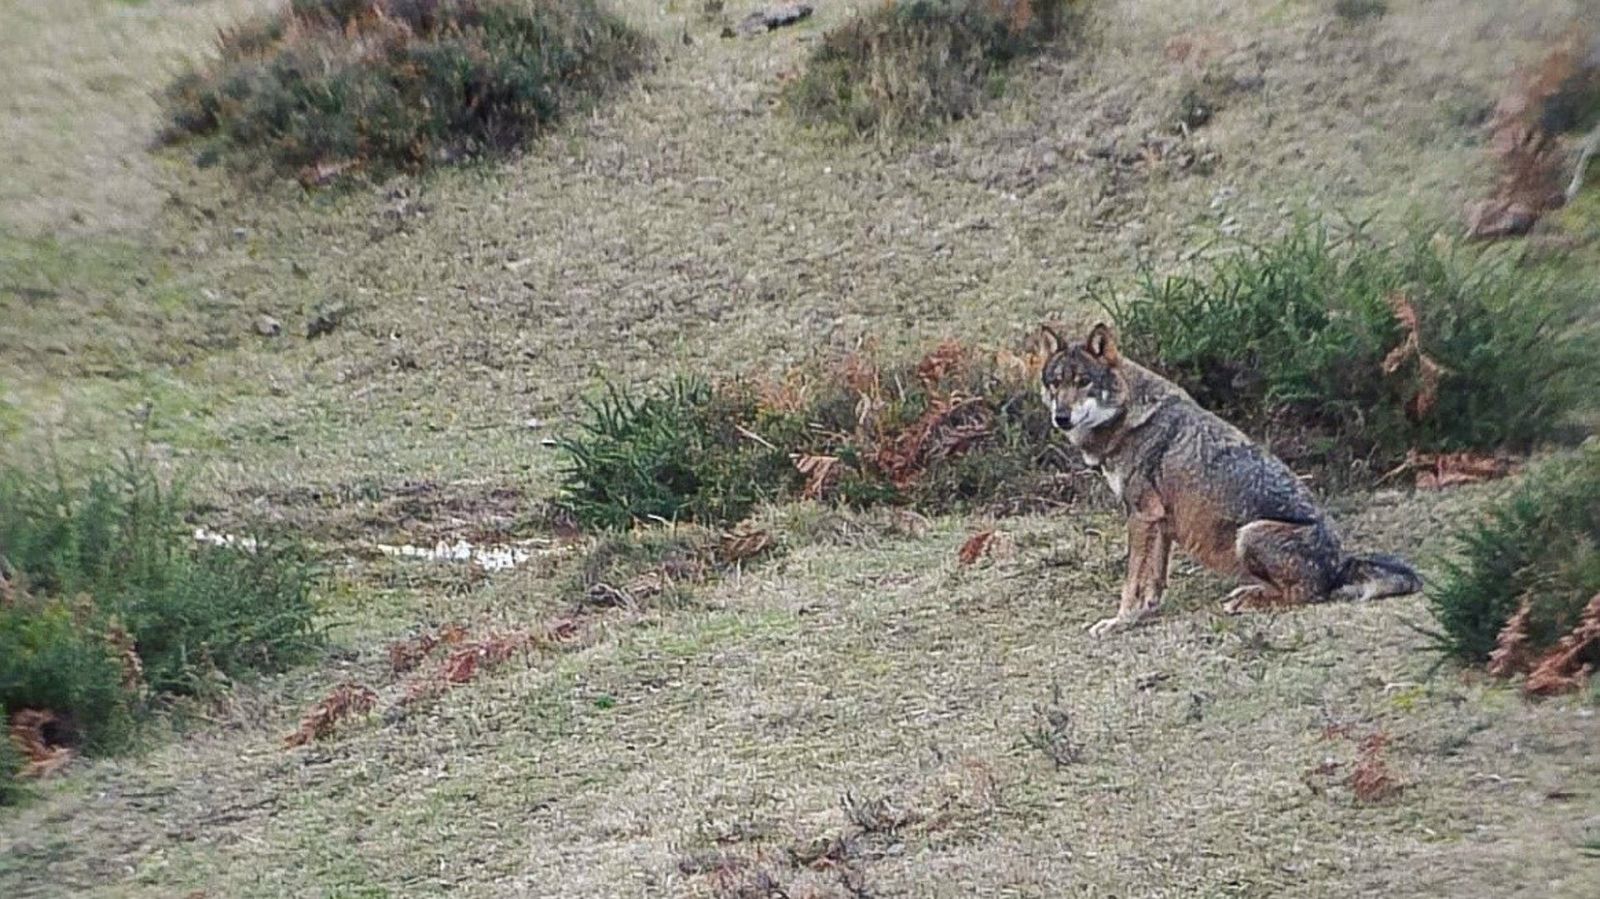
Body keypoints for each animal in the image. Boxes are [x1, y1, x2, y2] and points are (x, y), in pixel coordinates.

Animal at [1039, 323, 1422, 636]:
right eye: (1055, 384)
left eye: (1083, 382)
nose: (1061, 417)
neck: (1127, 419)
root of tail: (1341, 564)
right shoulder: (1159, 520)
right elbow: (1153, 583)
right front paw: (1144, 615)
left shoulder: (1141, 516)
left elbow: (1132, 582)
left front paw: (1118, 621)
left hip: (1250, 534)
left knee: (1306, 595)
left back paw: (1248, 600)